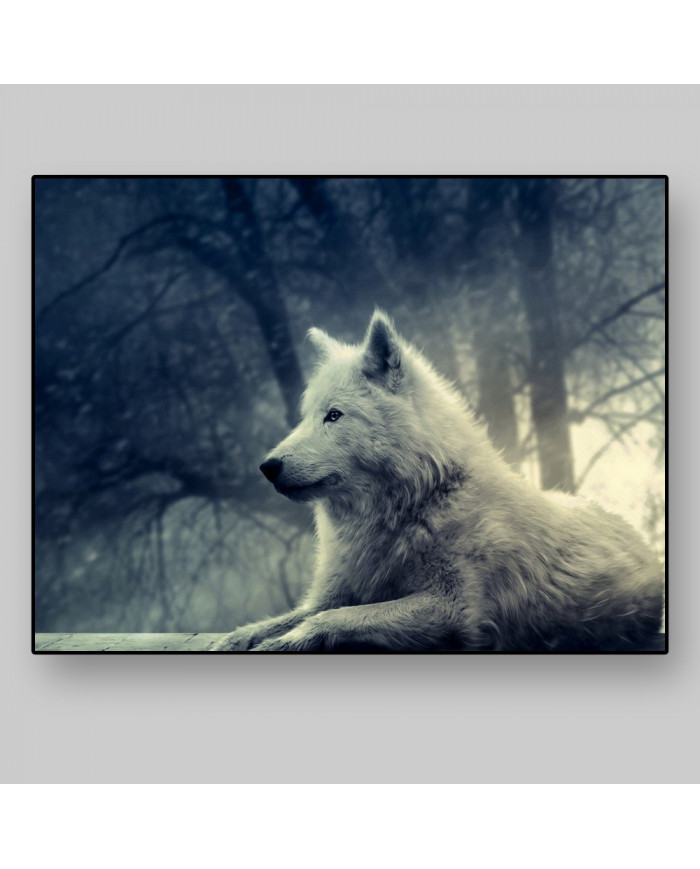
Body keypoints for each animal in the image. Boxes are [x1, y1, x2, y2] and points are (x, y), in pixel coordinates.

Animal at [213, 311, 664, 652]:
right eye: (306, 416)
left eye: (334, 415)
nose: (267, 466)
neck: (419, 502)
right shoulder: (333, 592)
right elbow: (285, 618)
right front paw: (234, 639)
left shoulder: (452, 608)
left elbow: (333, 618)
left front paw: (284, 642)